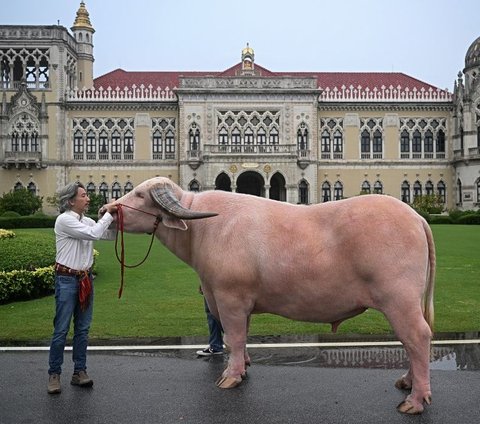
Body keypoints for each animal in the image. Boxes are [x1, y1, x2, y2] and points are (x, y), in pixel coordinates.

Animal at [112, 176, 436, 414]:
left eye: (139, 195)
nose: (108, 209)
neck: (202, 230)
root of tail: (416, 217)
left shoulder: (229, 299)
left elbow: (234, 337)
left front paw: (230, 377)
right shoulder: (239, 302)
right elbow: (241, 338)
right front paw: (243, 368)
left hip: (399, 300)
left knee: (417, 337)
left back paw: (415, 400)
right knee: (410, 342)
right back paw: (407, 383)